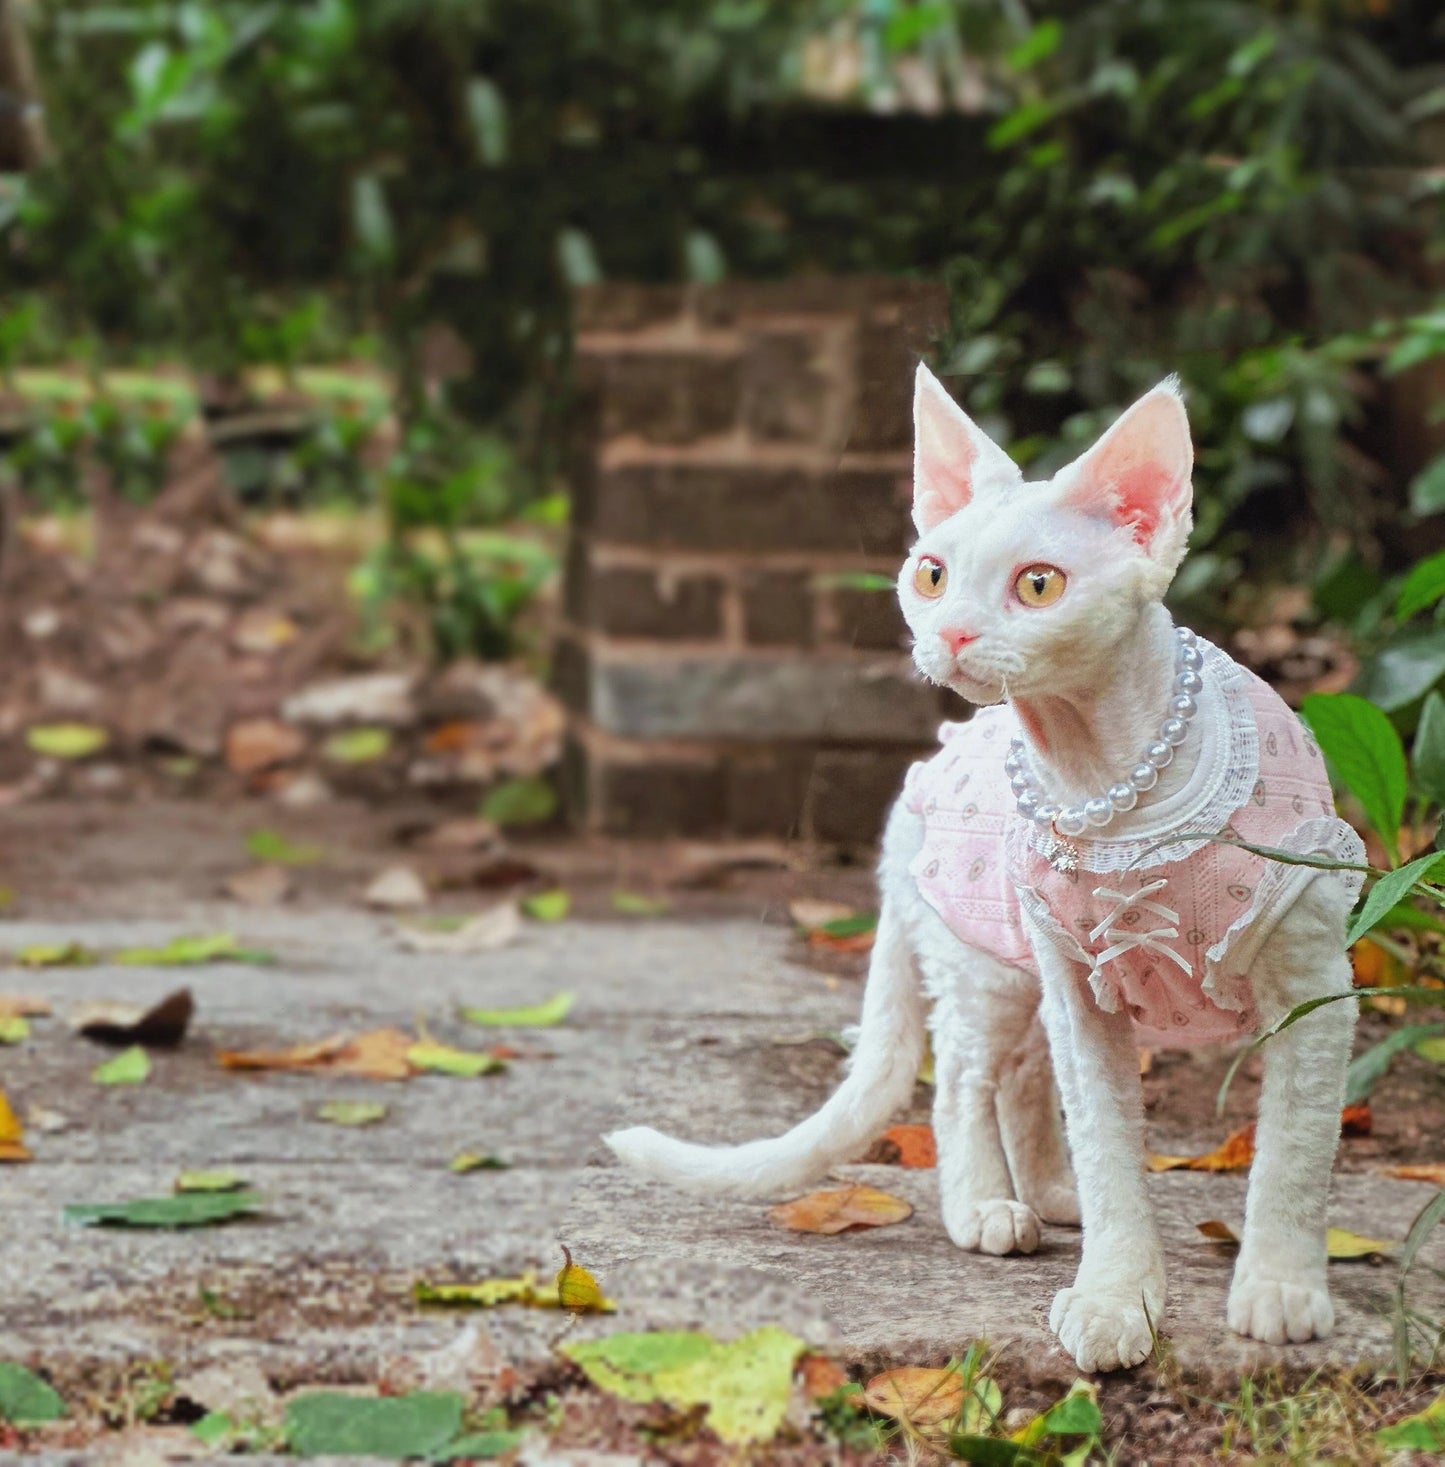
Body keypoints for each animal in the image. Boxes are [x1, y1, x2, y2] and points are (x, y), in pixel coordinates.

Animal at [613, 366, 1367, 1373]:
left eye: (1038, 585)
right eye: (931, 574)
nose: (956, 635)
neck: (1104, 775)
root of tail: (913, 794)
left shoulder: (1311, 982)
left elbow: (1291, 1147)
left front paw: (1279, 1288)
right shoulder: (1078, 976)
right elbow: (1105, 1137)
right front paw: (1117, 1296)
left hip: (1030, 960)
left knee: (1018, 1075)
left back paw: (1048, 1194)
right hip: (987, 954)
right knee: (967, 1077)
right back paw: (984, 1203)